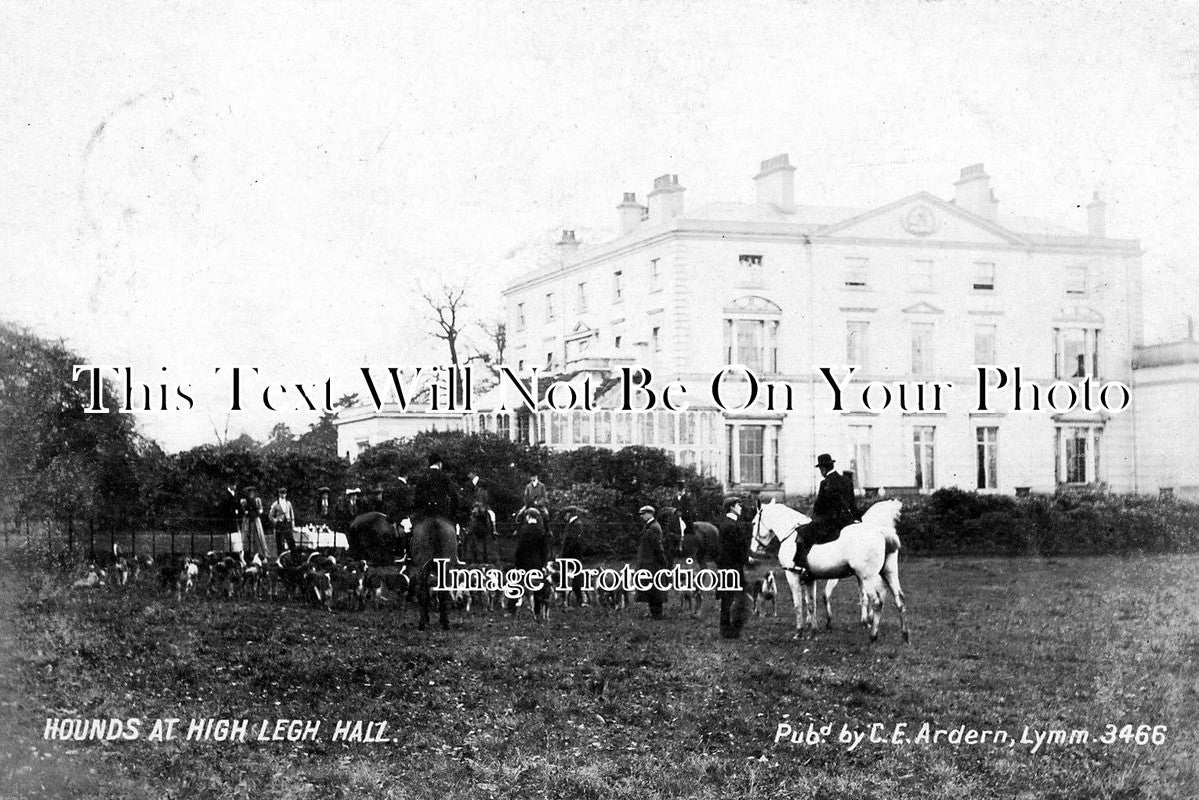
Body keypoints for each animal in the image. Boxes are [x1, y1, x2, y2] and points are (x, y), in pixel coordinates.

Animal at [748, 501, 906, 642]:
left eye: (754, 523)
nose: (753, 548)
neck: (791, 535)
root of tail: (881, 531)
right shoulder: (809, 579)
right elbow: (811, 604)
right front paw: (813, 632)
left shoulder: (792, 576)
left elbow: (798, 605)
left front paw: (799, 631)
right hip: (888, 573)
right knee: (899, 599)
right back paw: (905, 636)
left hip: (868, 577)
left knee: (876, 601)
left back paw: (873, 634)